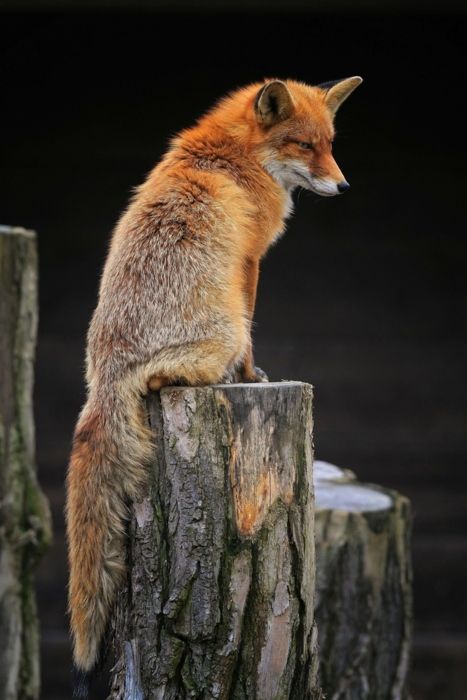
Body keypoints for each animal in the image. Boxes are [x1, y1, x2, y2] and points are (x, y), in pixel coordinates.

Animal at [67, 75, 364, 680]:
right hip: (218, 330)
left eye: (329, 144)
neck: (231, 158)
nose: (344, 185)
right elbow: (253, 332)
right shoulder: (248, 263)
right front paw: (250, 376)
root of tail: (105, 374)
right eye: (304, 145)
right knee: (169, 378)